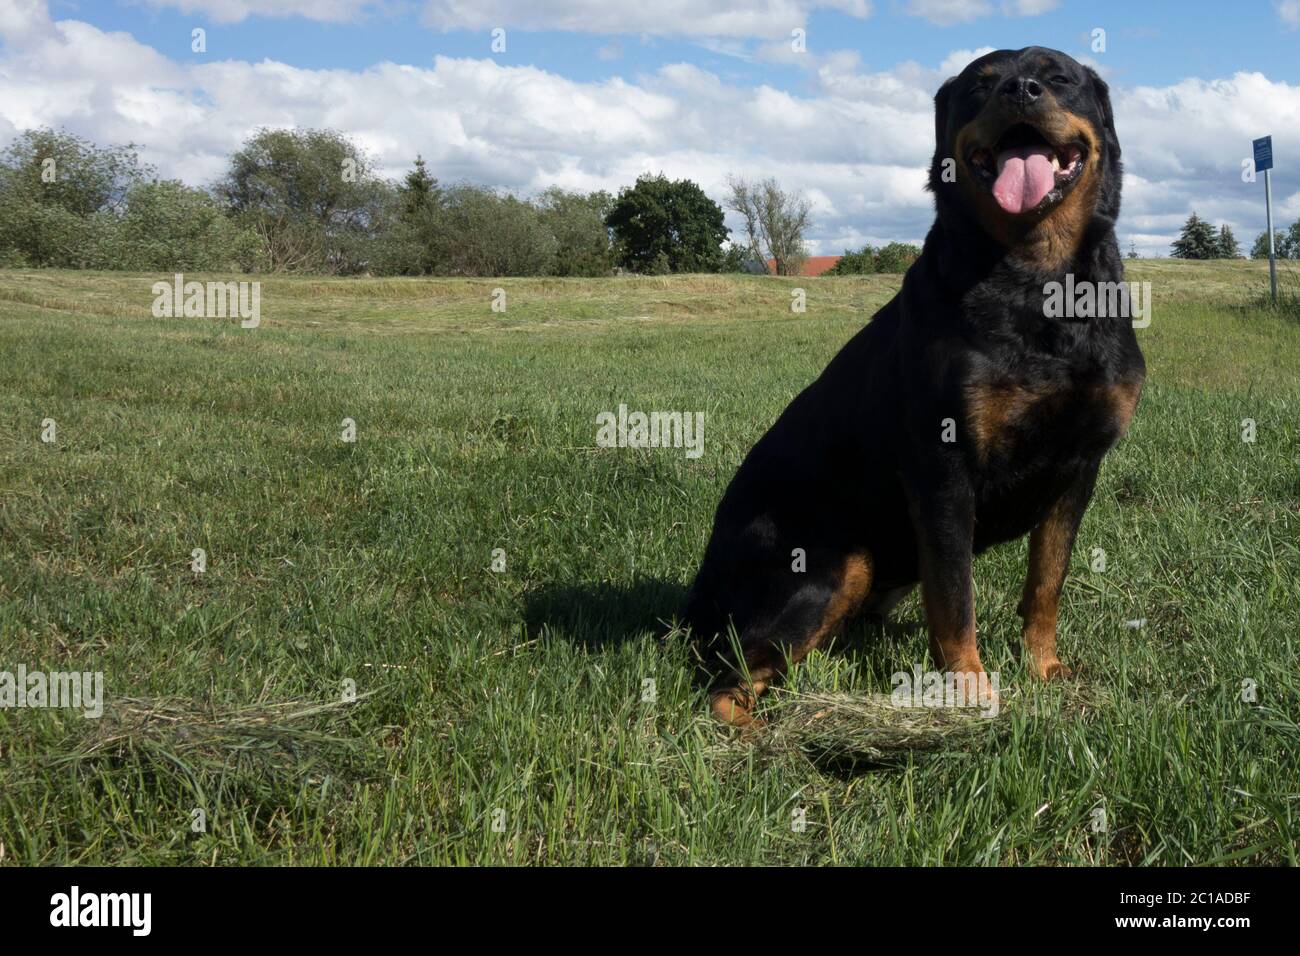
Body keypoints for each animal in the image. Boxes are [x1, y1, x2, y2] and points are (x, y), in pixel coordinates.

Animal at [686, 44, 1144, 723]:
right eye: (980, 86)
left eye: (1060, 78)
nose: (1021, 90)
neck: (1039, 281)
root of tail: (700, 585)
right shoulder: (942, 466)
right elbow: (955, 599)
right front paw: (970, 691)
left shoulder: (1079, 465)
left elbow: (1046, 582)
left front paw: (1046, 669)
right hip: (833, 563)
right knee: (727, 678)